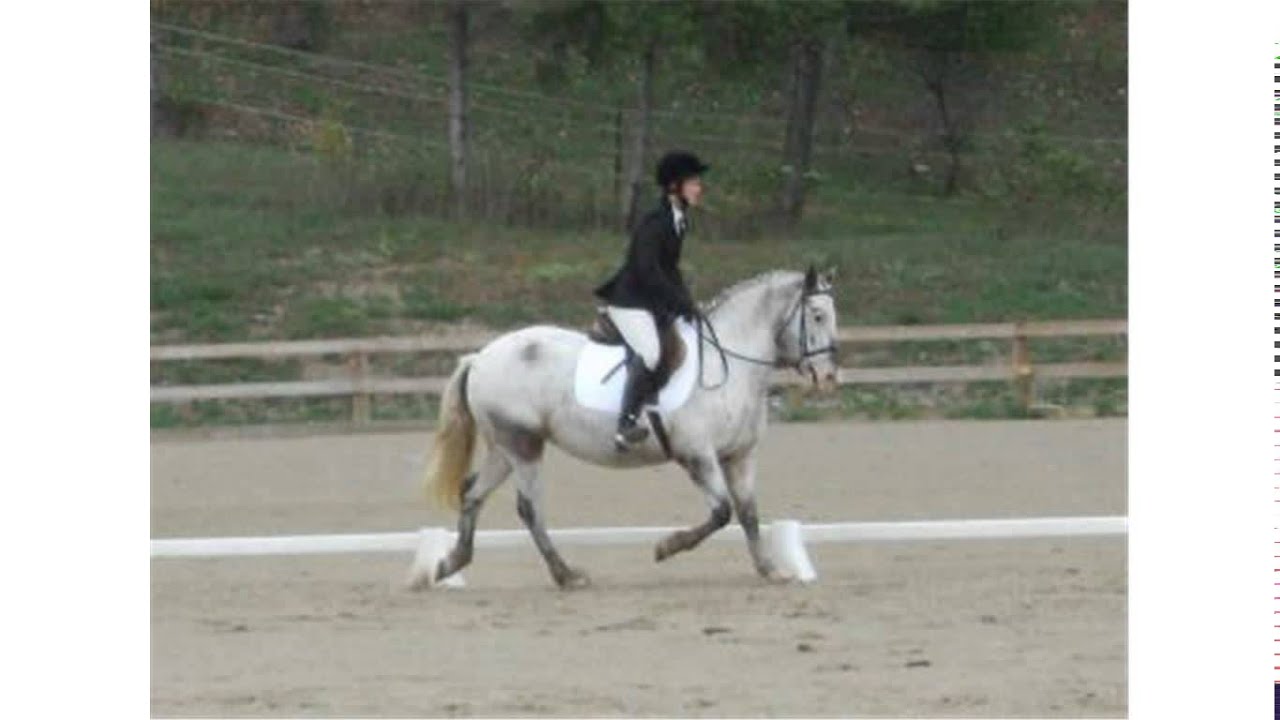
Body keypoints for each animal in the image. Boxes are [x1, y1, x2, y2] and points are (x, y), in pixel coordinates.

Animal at [412, 265, 840, 590]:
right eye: (818, 315)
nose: (829, 377)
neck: (729, 366)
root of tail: (480, 357)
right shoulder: (698, 455)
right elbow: (721, 512)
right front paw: (666, 547)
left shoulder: (740, 456)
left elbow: (749, 513)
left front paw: (771, 569)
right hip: (524, 446)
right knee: (529, 508)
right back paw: (566, 575)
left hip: (505, 448)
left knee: (472, 495)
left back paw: (448, 564)